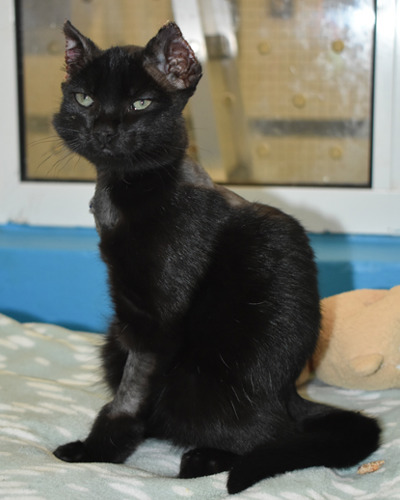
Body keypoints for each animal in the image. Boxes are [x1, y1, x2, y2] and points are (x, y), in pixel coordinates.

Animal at [53, 21, 382, 494]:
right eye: (84, 99)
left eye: (140, 103)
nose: (103, 129)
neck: (127, 187)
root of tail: (291, 395)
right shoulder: (132, 316)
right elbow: (131, 390)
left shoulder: (157, 321)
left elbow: (131, 393)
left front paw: (98, 451)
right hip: (113, 341)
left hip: (199, 385)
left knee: (269, 435)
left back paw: (203, 458)